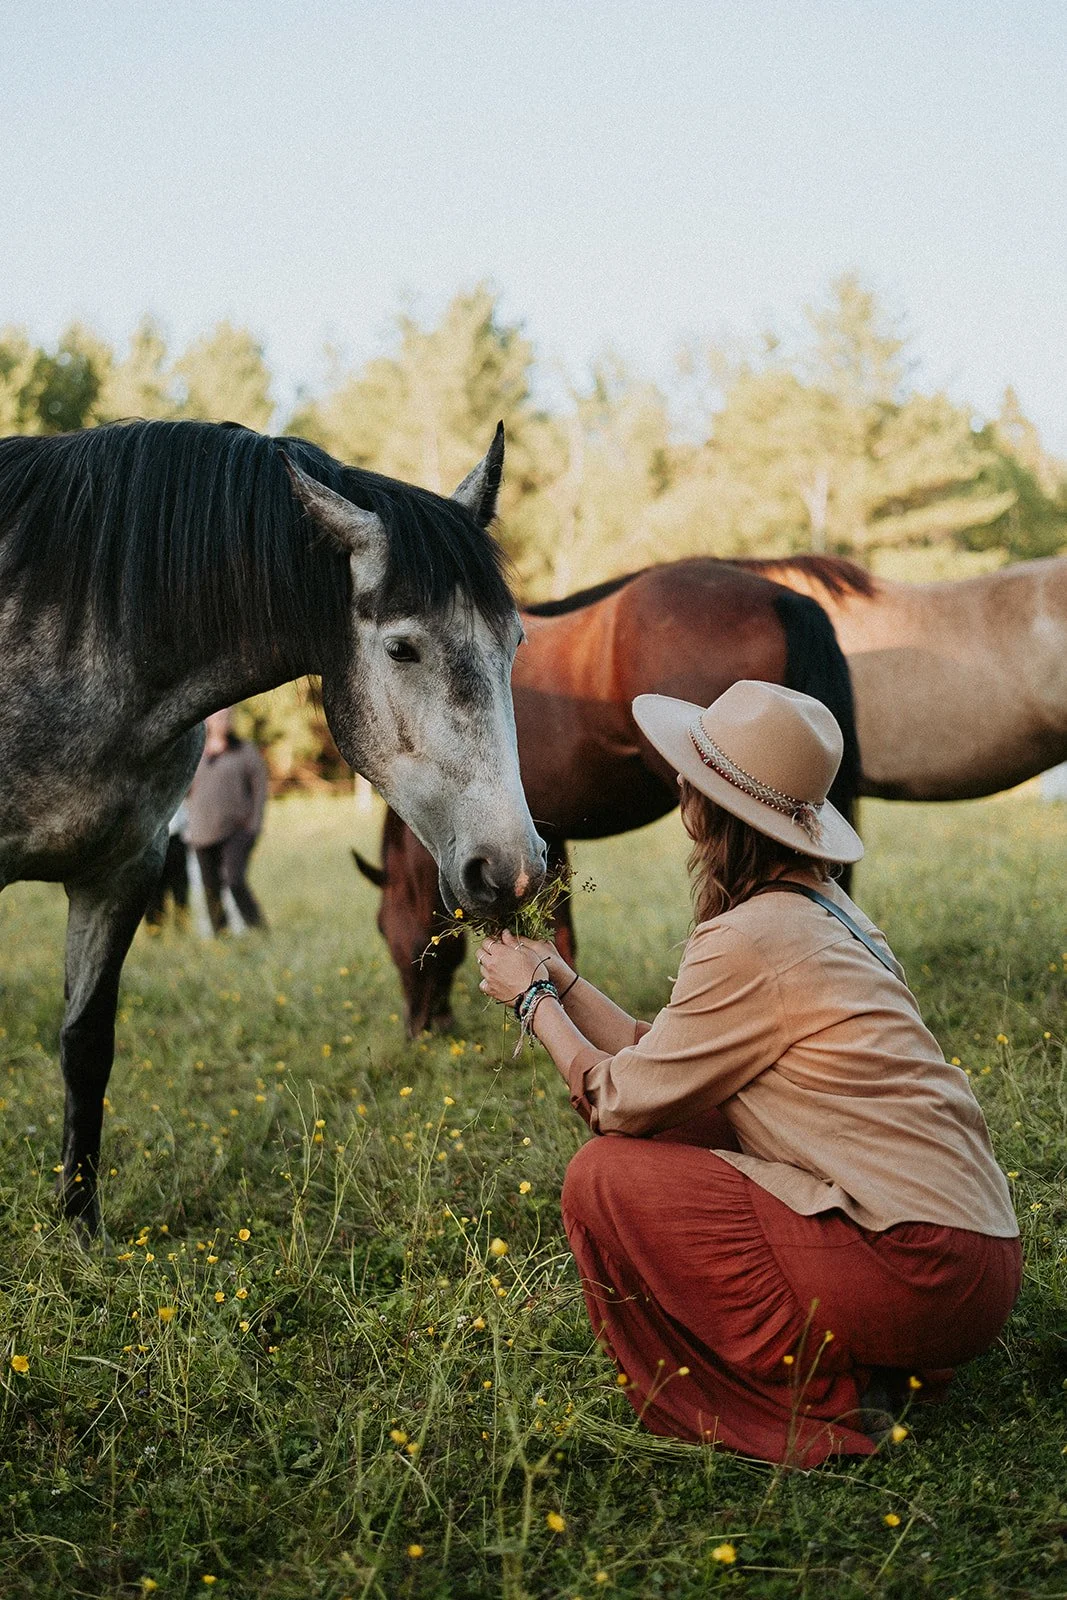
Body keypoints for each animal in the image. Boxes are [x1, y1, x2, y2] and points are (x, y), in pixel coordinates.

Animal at [0, 418, 545, 1233]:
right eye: (402, 647)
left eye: (513, 640)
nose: (510, 867)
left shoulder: (121, 873)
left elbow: (86, 1045)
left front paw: (80, 1226)